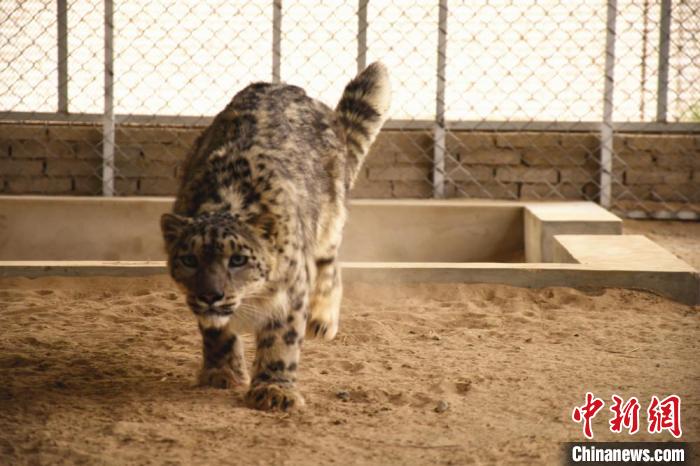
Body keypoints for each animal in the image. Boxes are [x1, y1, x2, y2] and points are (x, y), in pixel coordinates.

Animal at [160, 62, 390, 411]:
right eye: (189, 259)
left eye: (238, 259)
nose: (211, 295)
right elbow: (216, 333)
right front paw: (222, 373)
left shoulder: (290, 294)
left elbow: (281, 341)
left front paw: (274, 390)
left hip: (329, 223)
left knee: (329, 266)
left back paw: (322, 320)